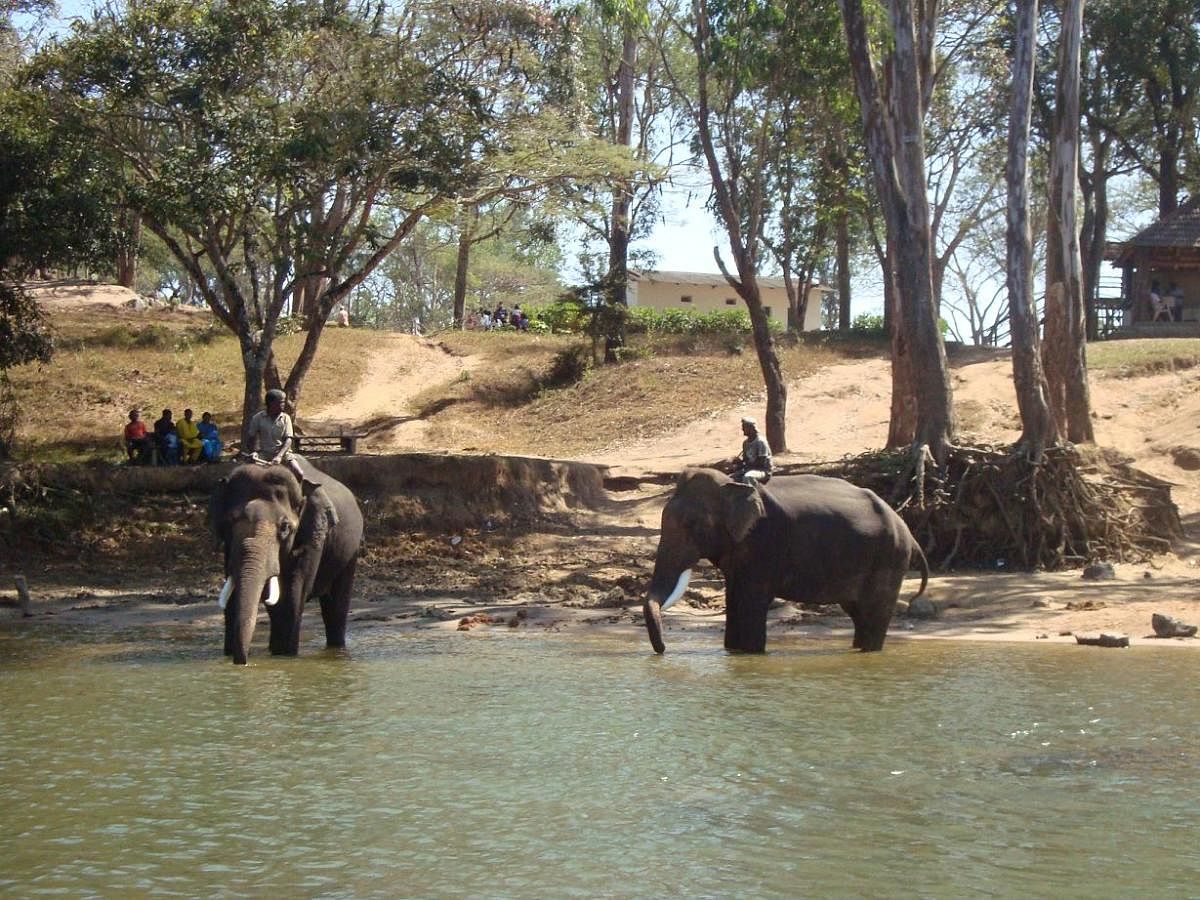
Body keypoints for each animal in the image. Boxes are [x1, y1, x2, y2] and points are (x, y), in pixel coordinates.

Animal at [208, 458, 362, 662]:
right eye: (229, 522)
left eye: (285, 527)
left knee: (336, 607)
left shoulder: (311, 541)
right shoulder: (229, 549)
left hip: (350, 553)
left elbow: (289, 600)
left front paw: (283, 657)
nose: (242, 662)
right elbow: (233, 600)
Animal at [638, 468, 926, 652]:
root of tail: (911, 535)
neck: (732, 485)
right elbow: (735, 598)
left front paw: (749, 653)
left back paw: (870, 651)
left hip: (889, 559)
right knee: (858, 614)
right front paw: (733, 651)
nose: (663, 649)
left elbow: (751, 602)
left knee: (874, 613)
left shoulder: (764, 542)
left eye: (694, 526)